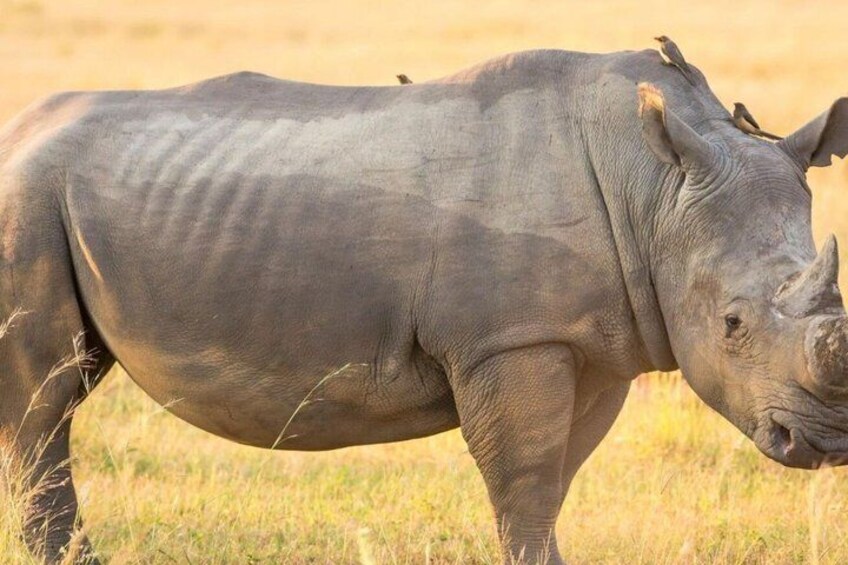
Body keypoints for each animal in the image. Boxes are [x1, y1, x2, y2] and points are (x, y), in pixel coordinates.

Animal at [1, 47, 847, 564]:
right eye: (732, 325)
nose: (825, 441)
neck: (656, 188)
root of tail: (14, 134)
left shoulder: (593, 342)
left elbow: (553, 479)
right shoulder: (509, 338)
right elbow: (524, 479)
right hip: (26, 197)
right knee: (42, 404)